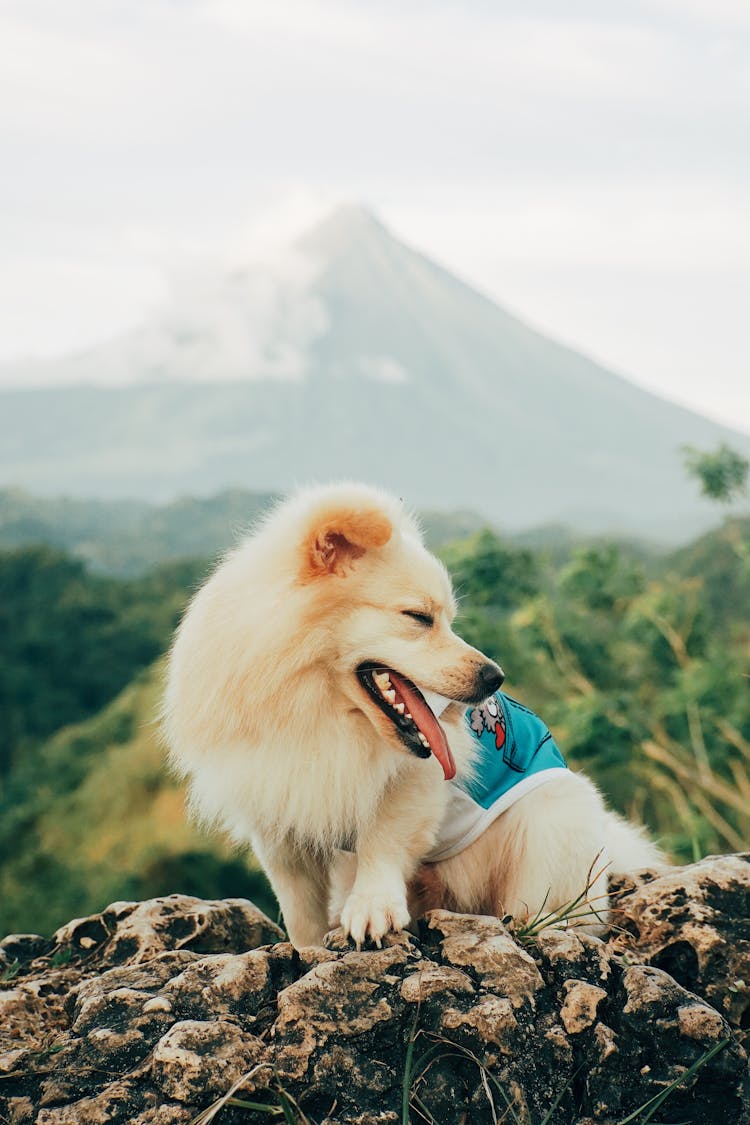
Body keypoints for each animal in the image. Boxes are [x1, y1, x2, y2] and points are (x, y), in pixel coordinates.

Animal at [164, 483, 661, 949]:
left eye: (448, 619)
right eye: (419, 617)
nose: (495, 677)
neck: (316, 710)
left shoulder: (412, 781)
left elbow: (382, 840)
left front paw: (372, 909)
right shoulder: (279, 812)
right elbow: (300, 907)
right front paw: (308, 947)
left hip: (554, 818)